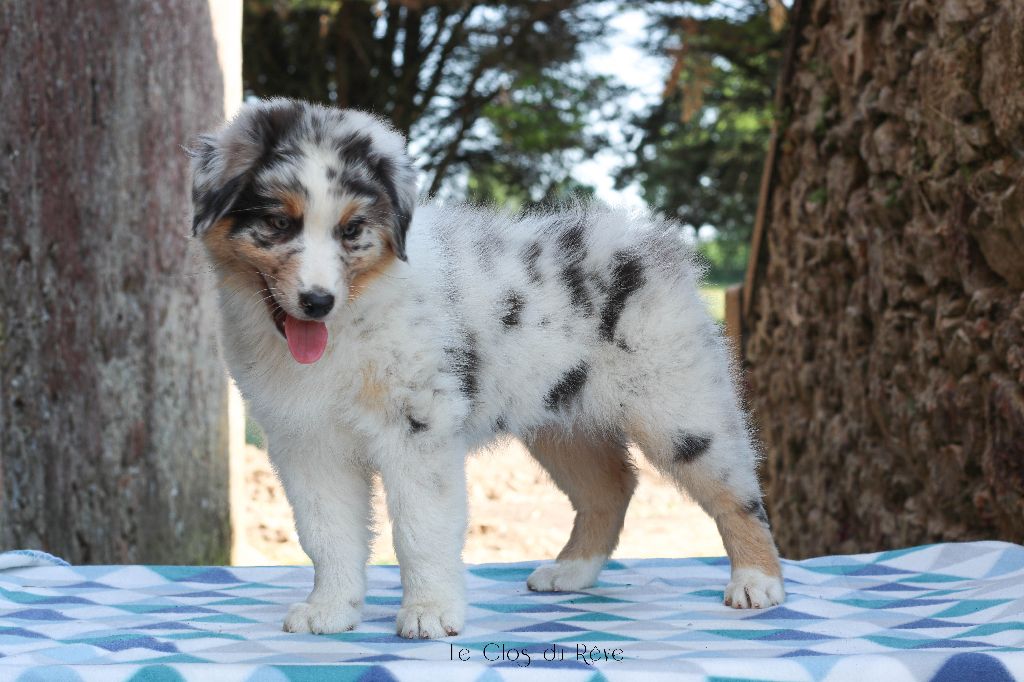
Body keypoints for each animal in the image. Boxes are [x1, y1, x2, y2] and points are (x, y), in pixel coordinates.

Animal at [189, 97, 784, 639]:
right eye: (276, 222)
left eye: (352, 230)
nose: (317, 302)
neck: (351, 321)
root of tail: (652, 241)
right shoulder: (306, 442)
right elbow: (327, 533)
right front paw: (332, 611)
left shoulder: (418, 431)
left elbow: (420, 529)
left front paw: (429, 614)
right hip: (561, 419)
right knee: (612, 487)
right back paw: (571, 571)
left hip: (679, 405)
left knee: (737, 492)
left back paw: (758, 581)